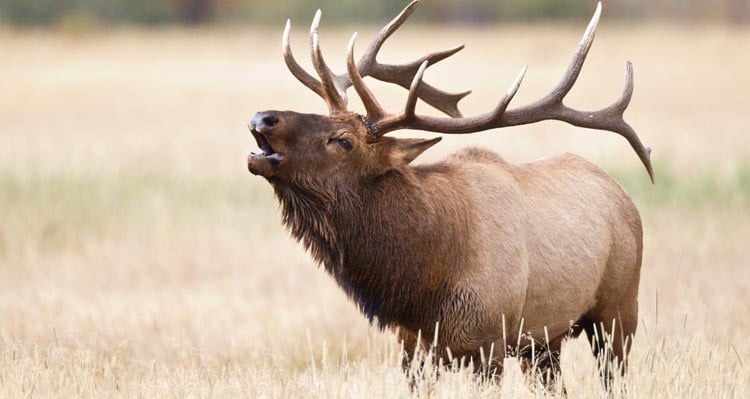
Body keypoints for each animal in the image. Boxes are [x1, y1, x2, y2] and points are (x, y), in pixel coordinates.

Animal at [245, 0, 652, 390]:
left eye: (343, 141)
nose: (263, 117)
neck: (423, 286)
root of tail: (624, 197)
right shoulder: (412, 348)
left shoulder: (490, 341)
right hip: (543, 340)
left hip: (619, 310)